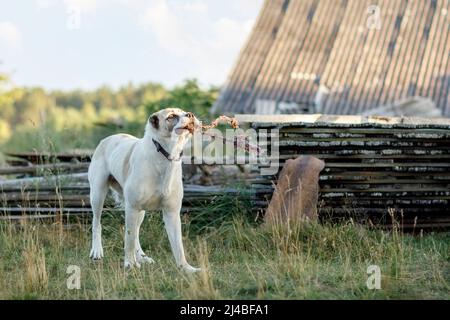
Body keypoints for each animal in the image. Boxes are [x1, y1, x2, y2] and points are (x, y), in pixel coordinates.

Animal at [88, 108, 200, 272]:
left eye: (184, 112)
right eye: (171, 116)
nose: (190, 114)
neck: (165, 155)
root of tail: (108, 138)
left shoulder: (171, 213)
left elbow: (178, 246)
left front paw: (186, 269)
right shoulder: (132, 207)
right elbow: (128, 238)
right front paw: (129, 264)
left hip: (140, 212)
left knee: (136, 233)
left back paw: (141, 256)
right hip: (98, 195)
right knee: (97, 223)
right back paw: (97, 251)